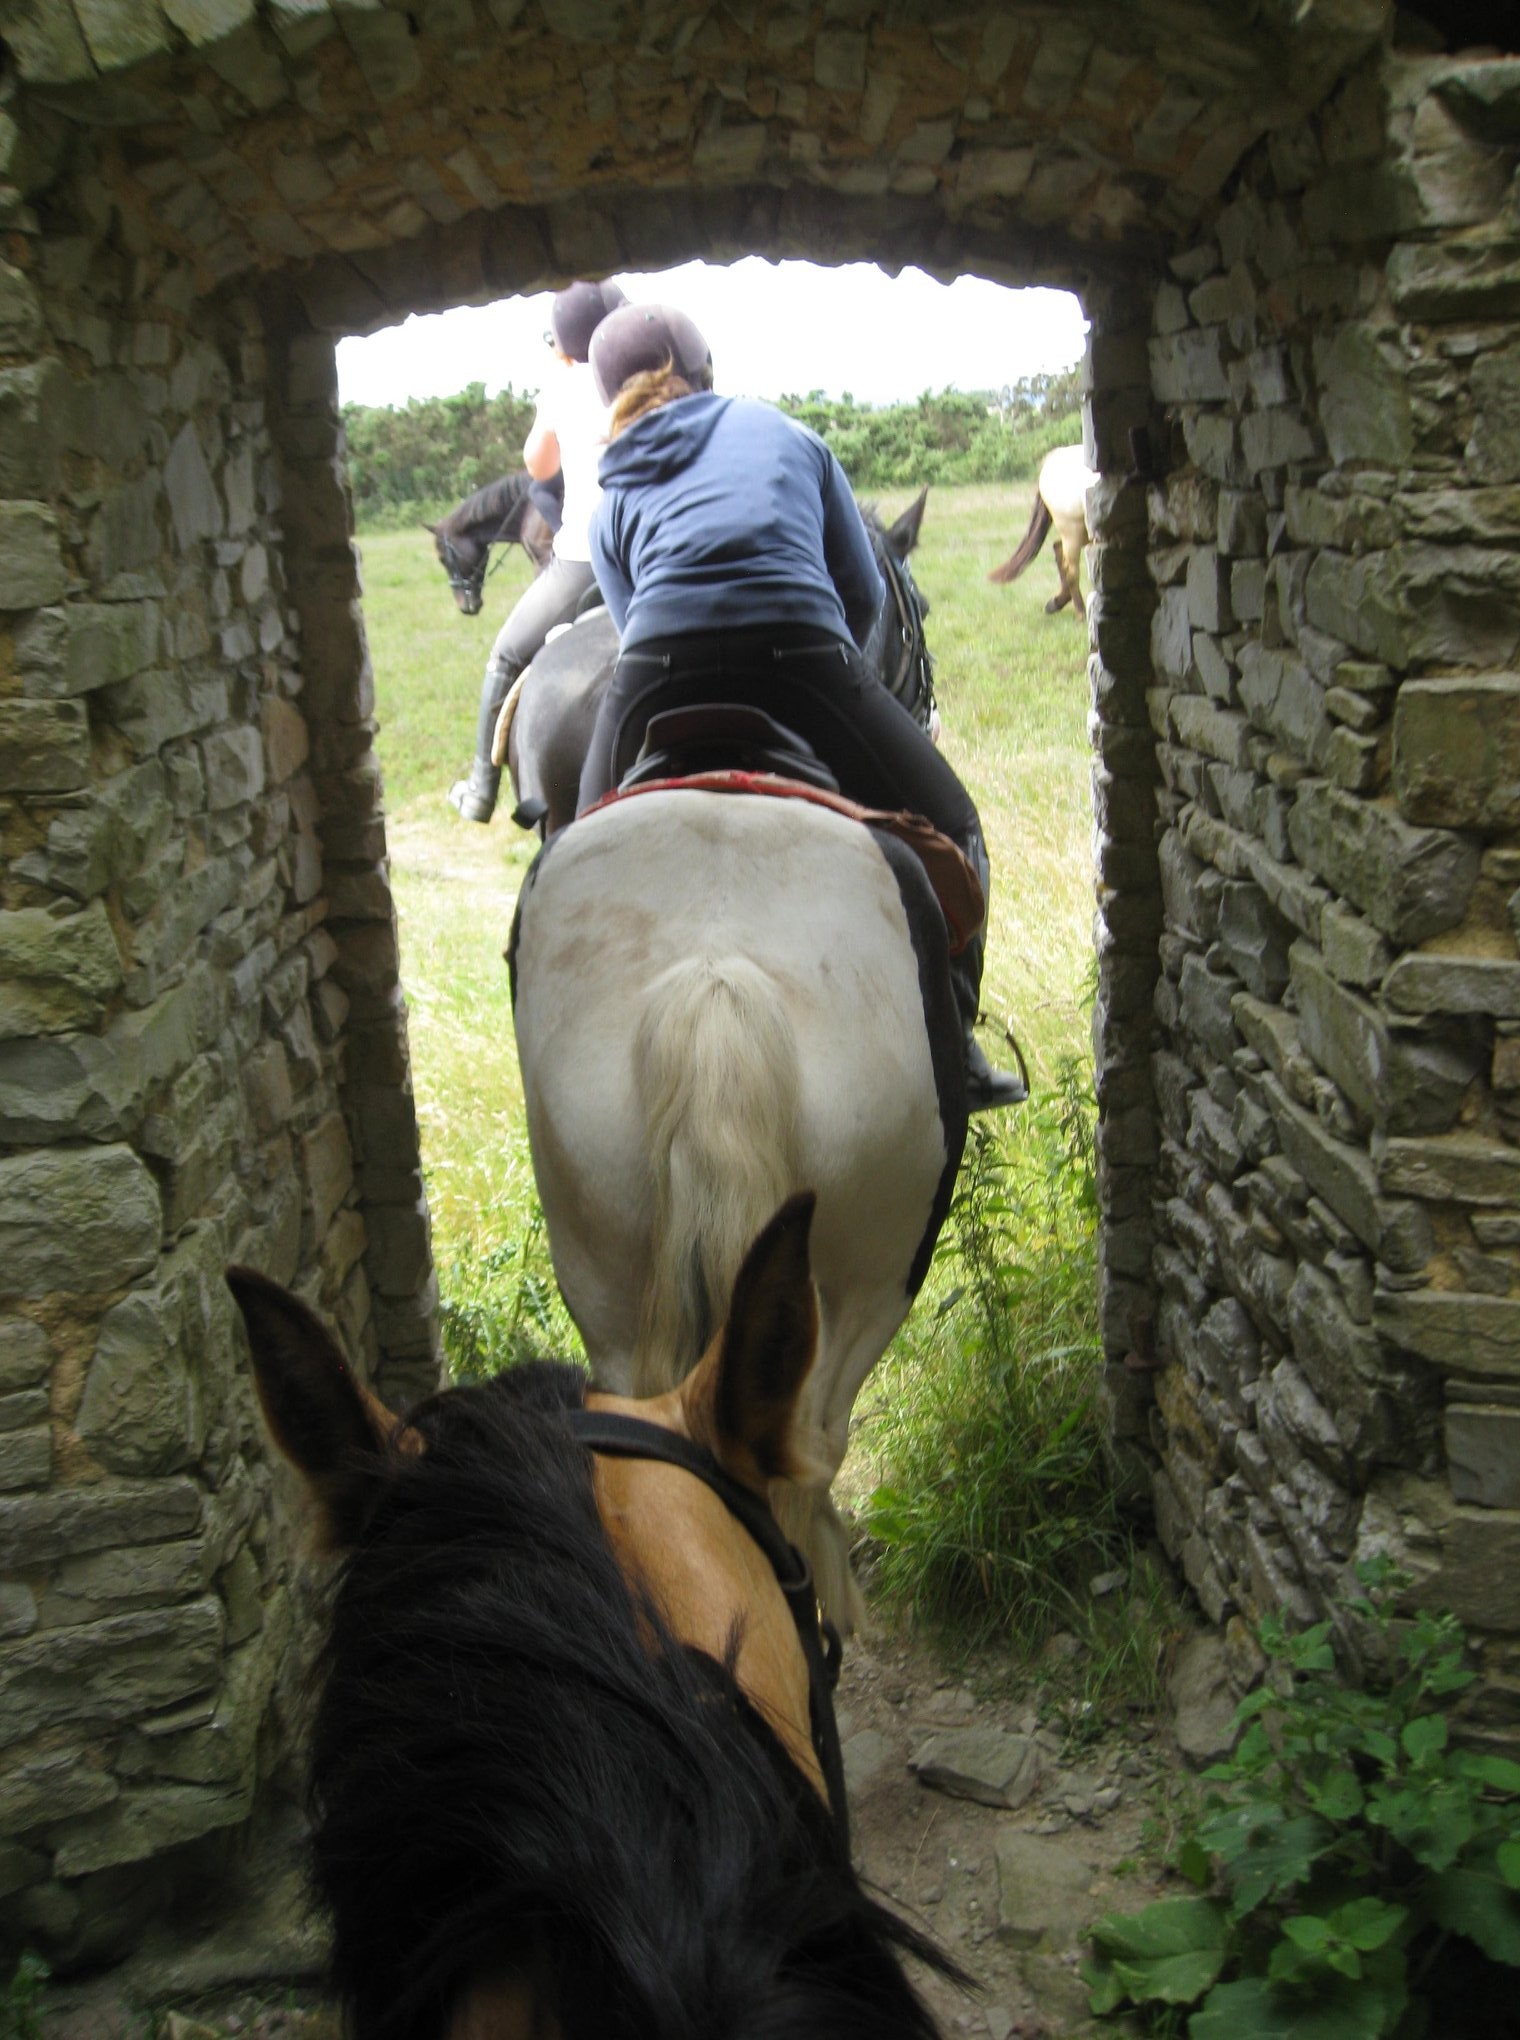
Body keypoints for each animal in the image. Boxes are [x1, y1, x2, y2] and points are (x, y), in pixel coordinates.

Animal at [983, 436, 1093, 612]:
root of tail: (1052, 460)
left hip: (1083, 531)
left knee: (1058, 549)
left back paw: (1056, 603)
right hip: (1072, 529)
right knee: (1070, 569)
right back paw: (1080, 612)